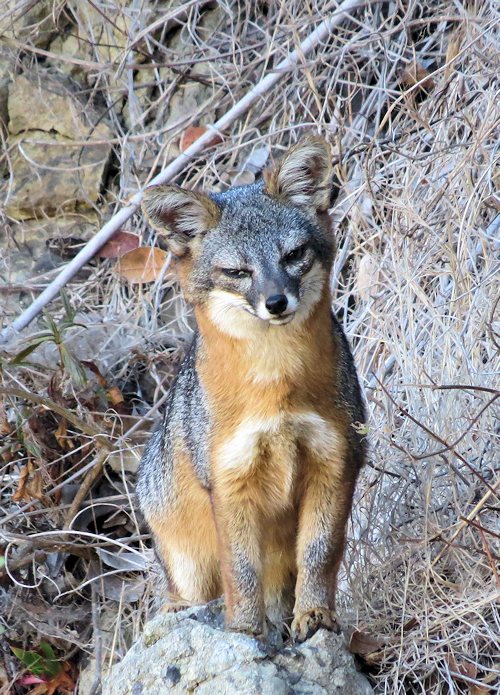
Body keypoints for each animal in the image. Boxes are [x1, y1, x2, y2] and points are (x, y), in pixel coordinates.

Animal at [135, 136, 366, 640]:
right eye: (238, 272)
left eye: (293, 255)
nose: (276, 302)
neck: (276, 388)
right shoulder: (229, 481)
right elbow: (240, 570)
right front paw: (242, 629)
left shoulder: (335, 464)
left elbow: (320, 553)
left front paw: (314, 614)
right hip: (185, 562)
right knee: (190, 594)